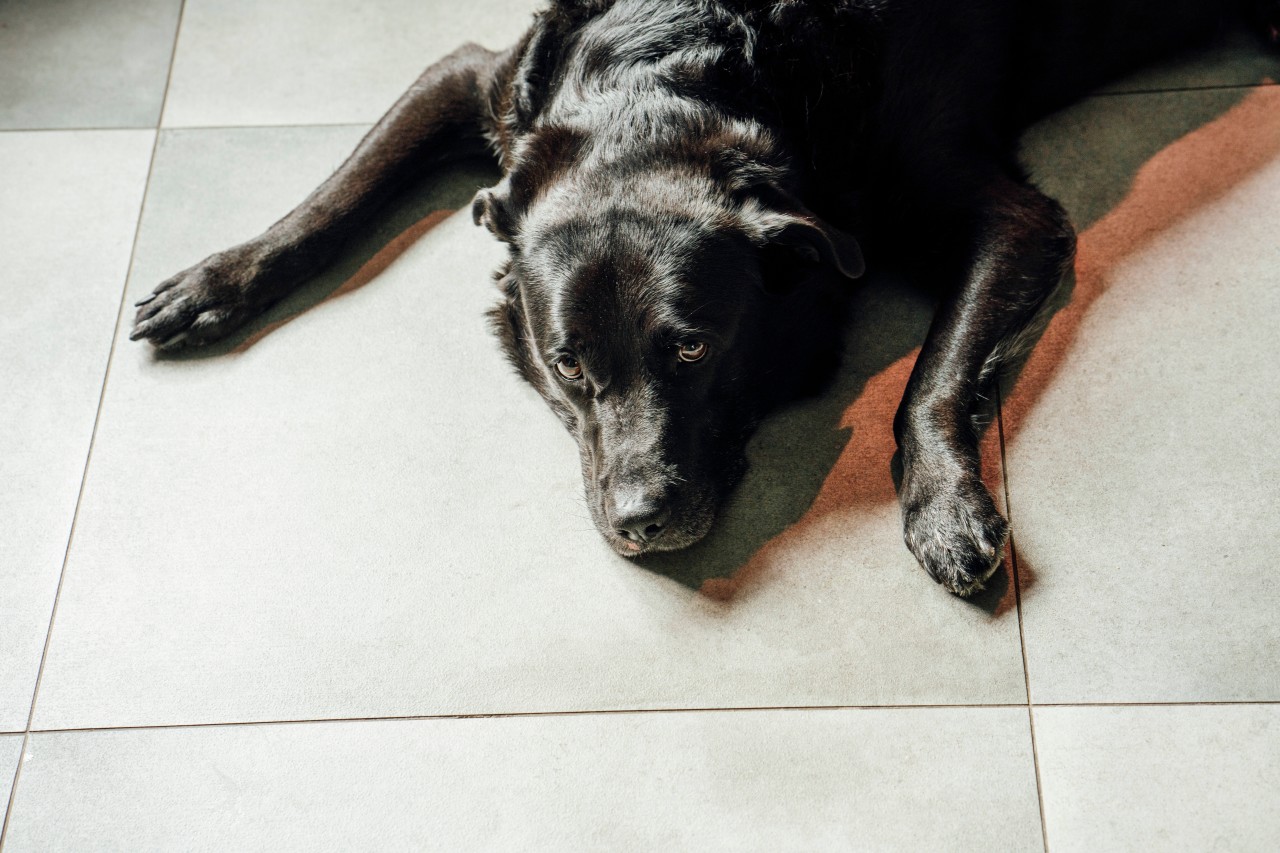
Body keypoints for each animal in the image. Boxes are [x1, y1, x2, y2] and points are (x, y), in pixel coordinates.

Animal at [132, 0, 1280, 594]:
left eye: (692, 350)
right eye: (567, 363)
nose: (640, 520)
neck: (678, 66)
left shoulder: (1007, 217)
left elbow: (933, 382)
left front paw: (946, 509)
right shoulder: (475, 79)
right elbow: (332, 198)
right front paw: (214, 280)